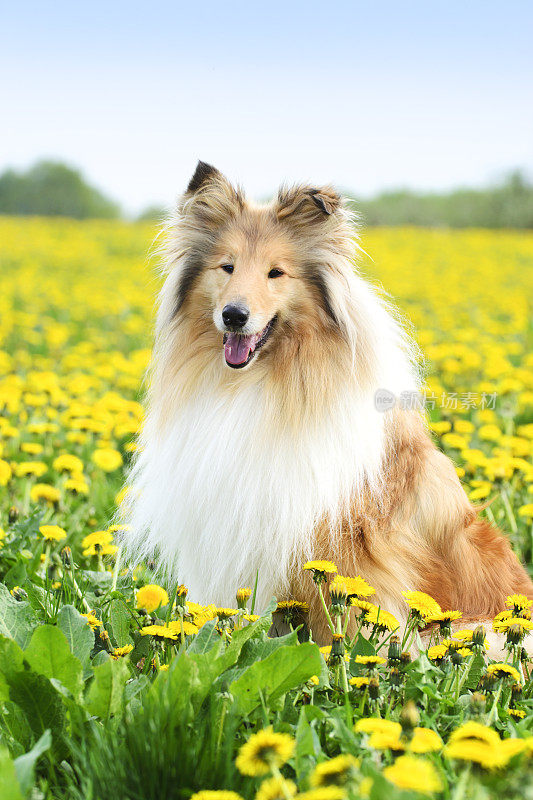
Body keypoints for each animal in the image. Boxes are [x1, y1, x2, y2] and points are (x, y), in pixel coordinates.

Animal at [120, 162, 532, 644]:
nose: (234, 316)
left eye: (276, 273)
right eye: (227, 267)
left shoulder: (350, 548)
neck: (259, 383)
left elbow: (347, 623)